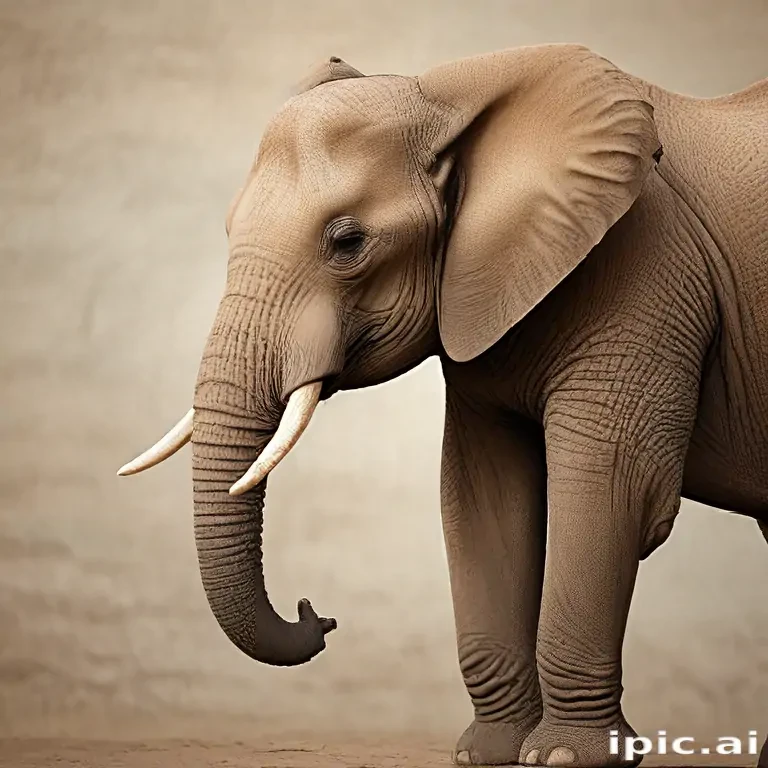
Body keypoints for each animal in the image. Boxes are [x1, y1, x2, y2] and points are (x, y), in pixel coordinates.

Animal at [117, 45, 768, 767]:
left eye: (347, 242)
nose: (321, 616)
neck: (444, 94)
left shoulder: (647, 274)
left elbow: (609, 492)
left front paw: (563, 758)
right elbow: (481, 496)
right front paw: (487, 754)